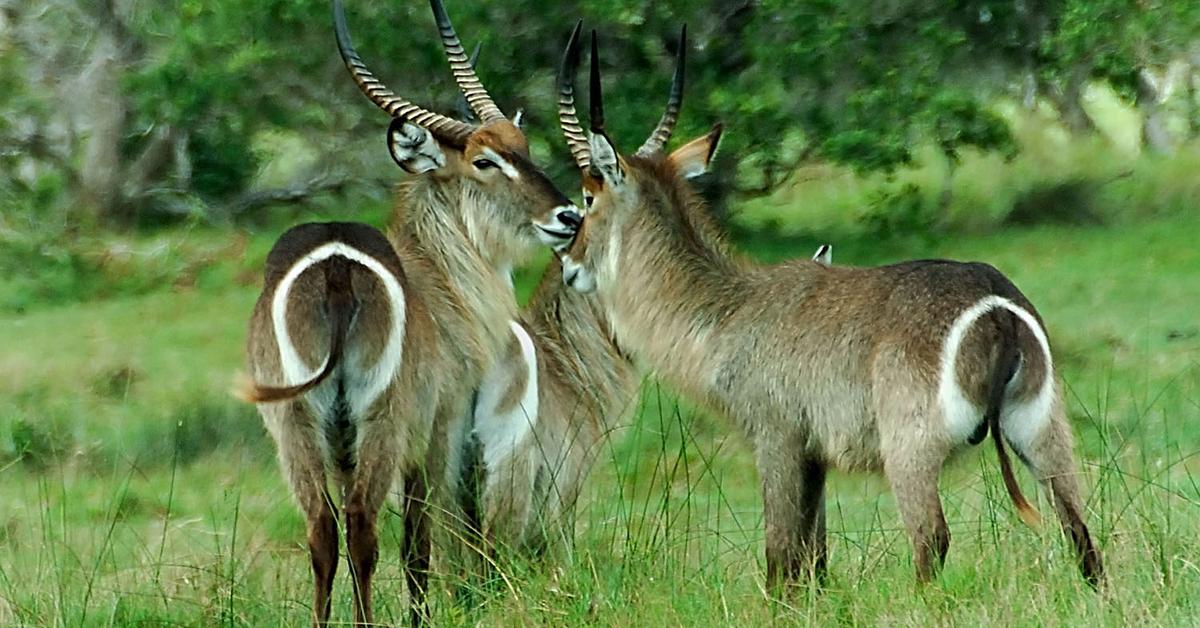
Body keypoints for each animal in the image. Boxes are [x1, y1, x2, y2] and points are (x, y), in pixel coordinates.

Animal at [235, 1, 580, 624]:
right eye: (484, 161)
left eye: (523, 147)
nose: (568, 216)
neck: (438, 275)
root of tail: (338, 268)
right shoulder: (440, 426)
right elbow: (422, 538)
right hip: (384, 420)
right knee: (364, 528)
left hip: (294, 425)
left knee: (323, 530)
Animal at [556, 27, 1099, 593]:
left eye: (588, 197)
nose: (567, 262)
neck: (725, 312)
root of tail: (996, 305)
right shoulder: (814, 454)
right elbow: (813, 557)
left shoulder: (775, 438)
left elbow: (779, 555)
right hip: (1042, 430)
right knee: (1081, 533)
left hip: (910, 447)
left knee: (931, 540)